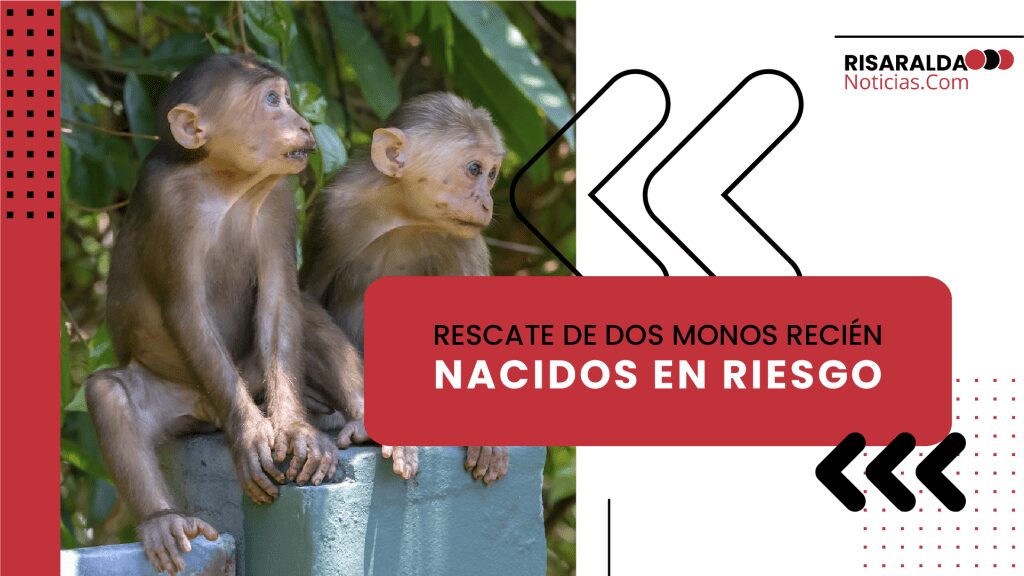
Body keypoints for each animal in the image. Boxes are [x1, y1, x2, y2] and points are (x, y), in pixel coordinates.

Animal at [84, 54, 363, 576]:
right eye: (272, 100)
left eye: (288, 98)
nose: (302, 122)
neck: (226, 180)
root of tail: (205, 413)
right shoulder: (167, 202)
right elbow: (185, 309)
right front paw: (251, 436)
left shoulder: (278, 198)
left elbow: (279, 297)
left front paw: (297, 432)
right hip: (182, 395)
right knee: (109, 394)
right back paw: (163, 520)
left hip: (254, 377)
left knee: (305, 315)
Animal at [301, 93, 511, 485]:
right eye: (474, 169)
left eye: (492, 174)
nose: (487, 202)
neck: (402, 214)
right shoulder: (333, 213)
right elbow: (305, 299)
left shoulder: (464, 239)